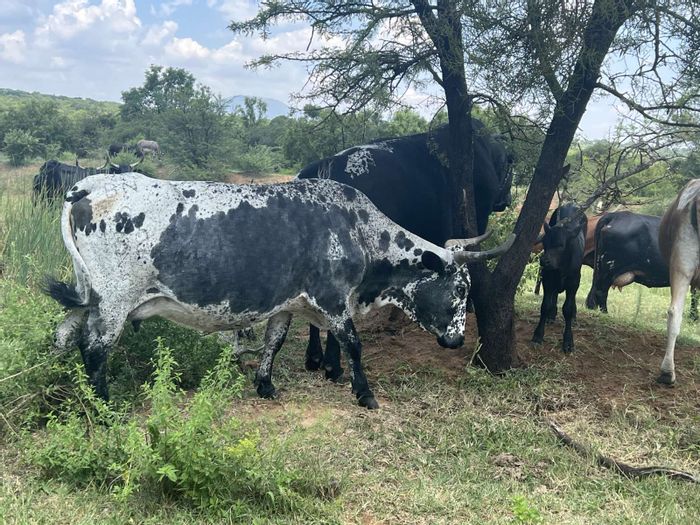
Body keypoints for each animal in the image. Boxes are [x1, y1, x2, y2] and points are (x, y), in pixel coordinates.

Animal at [45, 173, 514, 408]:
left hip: (90, 298)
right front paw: (365, 394)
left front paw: (265, 385)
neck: (358, 228)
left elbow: (275, 340)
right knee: (94, 347)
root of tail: (90, 184)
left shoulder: (288, 304)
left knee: (64, 334)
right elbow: (353, 344)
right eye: (460, 288)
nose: (457, 340)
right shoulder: (333, 300)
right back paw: (104, 405)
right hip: (113, 301)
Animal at [531, 204, 587, 353]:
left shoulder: (574, 281)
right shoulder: (547, 278)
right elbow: (545, 305)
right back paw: (552, 315)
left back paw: (573, 316)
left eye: (561, 245)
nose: (544, 261)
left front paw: (568, 341)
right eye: (544, 242)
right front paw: (538, 334)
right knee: (555, 294)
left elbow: (567, 309)